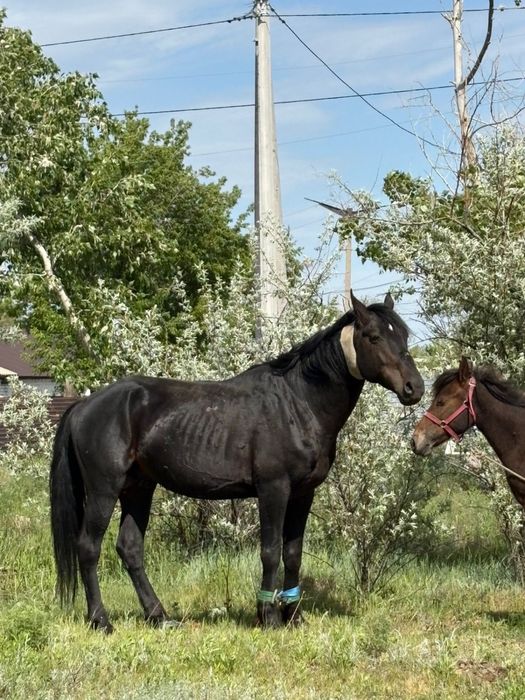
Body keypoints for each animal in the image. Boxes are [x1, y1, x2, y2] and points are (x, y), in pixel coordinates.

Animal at [50, 291, 424, 632]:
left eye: (403, 336)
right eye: (374, 336)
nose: (414, 387)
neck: (297, 403)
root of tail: (85, 405)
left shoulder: (303, 494)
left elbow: (293, 553)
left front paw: (293, 616)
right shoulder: (274, 489)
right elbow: (270, 551)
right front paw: (268, 617)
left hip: (138, 488)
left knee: (129, 548)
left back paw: (159, 617)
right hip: (104, 490)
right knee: (88, 547)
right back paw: (100, 620)